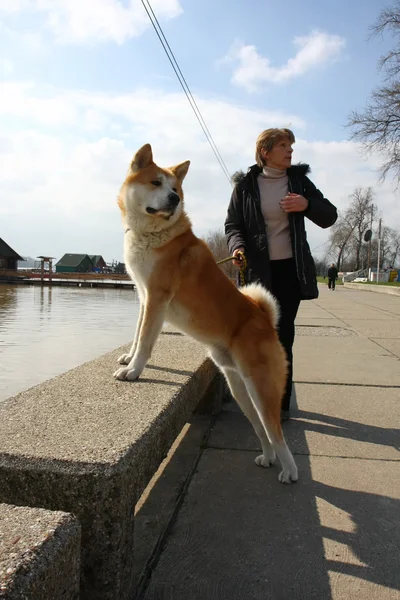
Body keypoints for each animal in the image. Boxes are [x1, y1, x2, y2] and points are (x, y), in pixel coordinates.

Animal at [114, 144, 298, 482]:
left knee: (277, 431)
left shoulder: (157, 297)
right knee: (262, 429)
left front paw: (133, 371)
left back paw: (290, 470)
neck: (159, 235)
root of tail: (263, 317)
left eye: (175, 189)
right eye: (156, 183)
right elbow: (137, 335)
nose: (174, 199)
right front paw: (127, 358)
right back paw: (268, 457)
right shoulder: (144, 297)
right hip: (240, 387)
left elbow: (146, 341)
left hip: (262, 387)